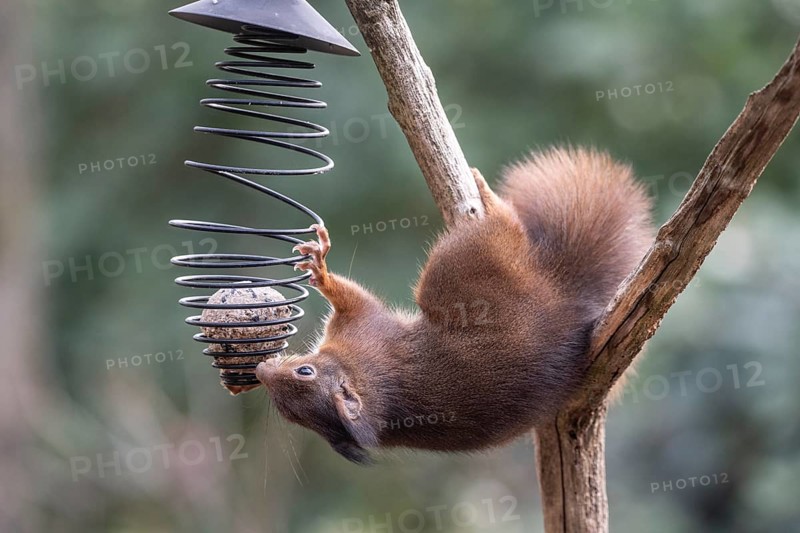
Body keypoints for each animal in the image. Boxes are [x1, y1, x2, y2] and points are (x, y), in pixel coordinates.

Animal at [256, 147, 653, 464]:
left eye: (305, 372)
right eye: (288, 414)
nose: (261, 371)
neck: (362, 377)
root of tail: (564, 301)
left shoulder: (366, 331)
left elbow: (356, 300)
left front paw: (321, 269)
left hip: (459, 261)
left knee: (502, 226)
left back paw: (488, 196)